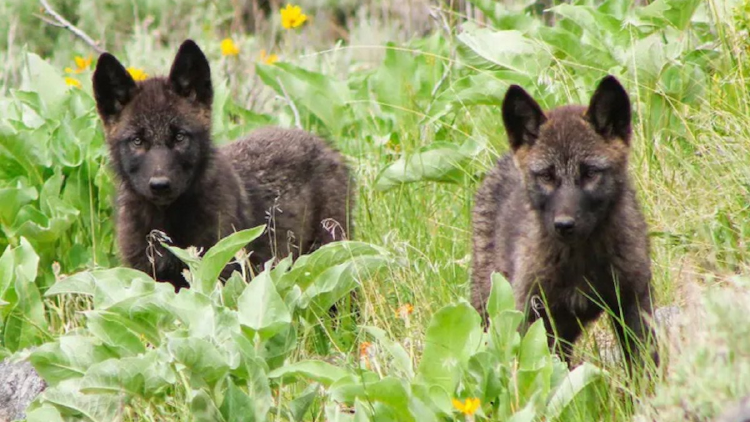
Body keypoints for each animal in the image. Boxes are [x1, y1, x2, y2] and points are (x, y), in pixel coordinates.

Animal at [92, 40, 353, 290]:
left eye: (180, 137)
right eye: (137, 141)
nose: (160, 185)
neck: (167, 222)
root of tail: (326, 145)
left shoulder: (221, 268)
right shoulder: (146, 276)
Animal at [471, 76, 658, 368]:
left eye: (590, 173)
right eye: (546, 176)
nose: (564, 225)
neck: (580, 260)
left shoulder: (633, 300)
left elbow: (644, 363)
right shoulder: (532, 313)